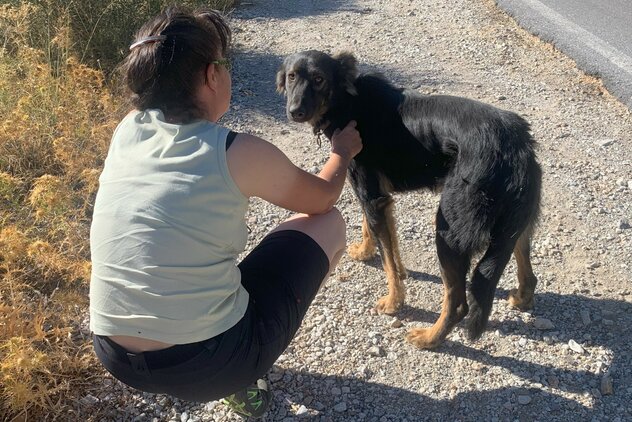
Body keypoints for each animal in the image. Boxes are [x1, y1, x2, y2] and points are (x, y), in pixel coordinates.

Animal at [278, 50, 544, 350]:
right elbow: (381, 239)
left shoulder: (371, 195)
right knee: (528, 272)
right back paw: (522, 299)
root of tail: (517, 146)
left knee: (458, 303)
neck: (348, 102)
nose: (295, 111)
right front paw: (368, 252)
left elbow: (386, 259)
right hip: (514, 223)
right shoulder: (378, 198)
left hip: (449, 231)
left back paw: (429, 337)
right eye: (291, 76)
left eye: (319, 79)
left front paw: (393, 301)